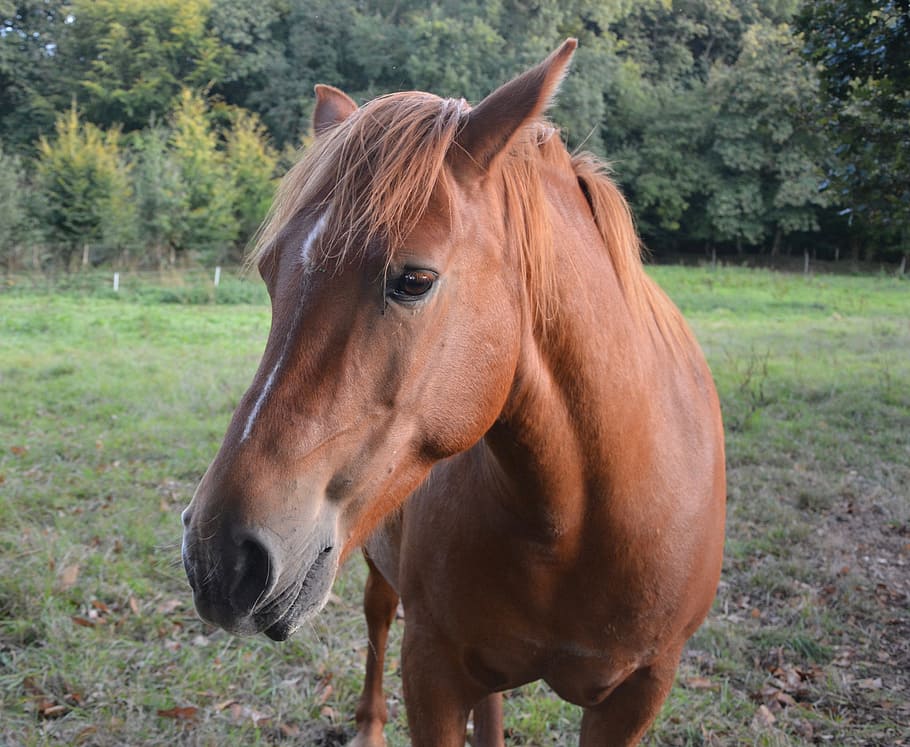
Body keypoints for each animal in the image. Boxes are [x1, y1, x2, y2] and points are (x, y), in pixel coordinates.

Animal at [181, 39, 726, 746]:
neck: (582, 520)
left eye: (414, 280)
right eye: (273, 274)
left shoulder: (637, 693)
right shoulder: (433, 672)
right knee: (378, 616)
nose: (219, 558)